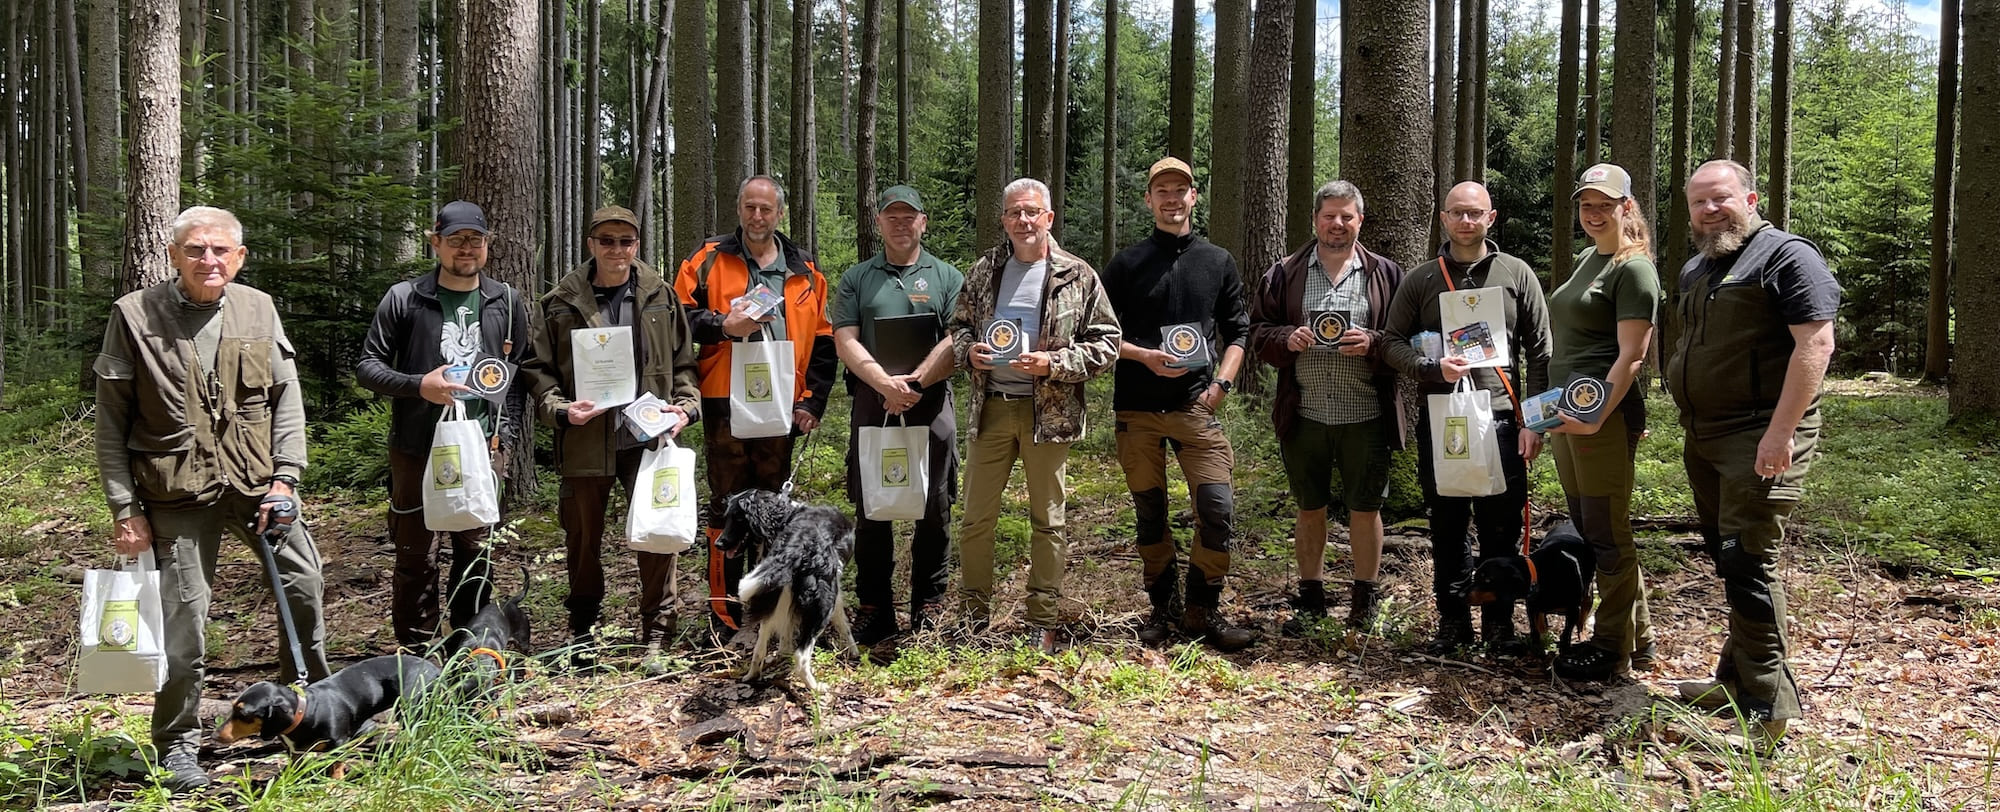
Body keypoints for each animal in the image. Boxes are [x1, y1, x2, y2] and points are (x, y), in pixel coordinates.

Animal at [716, 488, 856, 692]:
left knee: (759, 649)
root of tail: (798, 544)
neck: (787, 515)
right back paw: (816, 687)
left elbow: (785, 631)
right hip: (822, 606)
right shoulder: (834, 590)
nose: (718, 544)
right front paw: (854, 651)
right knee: (802, 656)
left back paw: (751, 676)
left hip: (772, 595)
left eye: (738, 518)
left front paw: (783, 652)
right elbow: (844, 625)